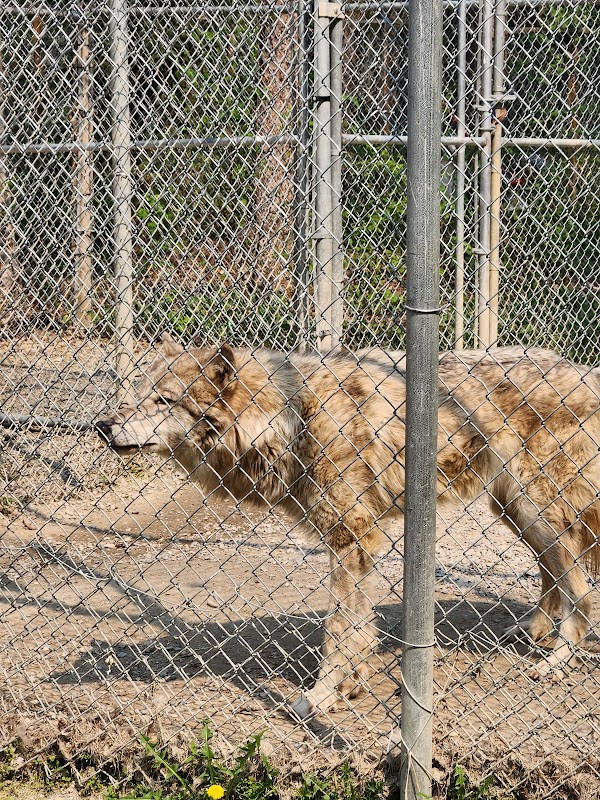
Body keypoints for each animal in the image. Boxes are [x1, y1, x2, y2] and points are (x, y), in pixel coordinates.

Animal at [96, 337, 600, 717]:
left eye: (163, 400)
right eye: (136, 393)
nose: (101, 425)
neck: (291, 418)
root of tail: (585, 371)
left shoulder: (350, 538)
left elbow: (339, 628)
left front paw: (321, 696)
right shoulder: (353, 545)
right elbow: (357, 624)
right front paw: (350, 686)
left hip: (536, 507)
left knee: (579, 588)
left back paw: (557, 659)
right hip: (514, 510)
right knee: (552, 575)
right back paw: (531, 628)